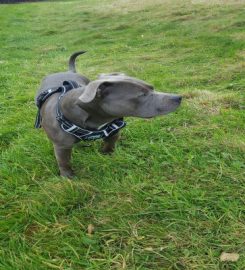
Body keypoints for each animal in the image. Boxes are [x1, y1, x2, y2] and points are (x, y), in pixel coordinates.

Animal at [36, 51, 182, 178]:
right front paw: (68, 177)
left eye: (152, 88)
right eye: (142, 95)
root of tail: (68, 71)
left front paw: (107, 156)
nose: (178, 97)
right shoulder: (62, 146)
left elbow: (110, 145)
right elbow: (64, 162)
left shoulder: (114, 131)